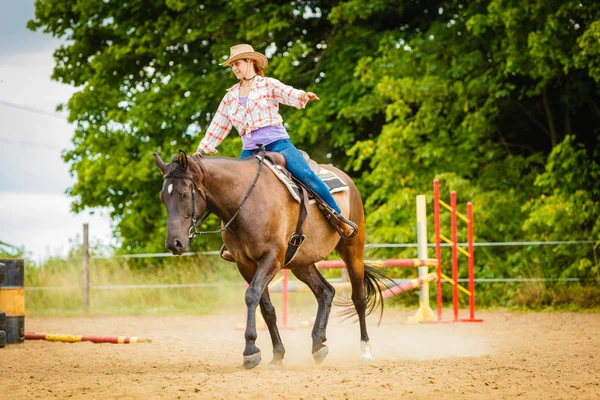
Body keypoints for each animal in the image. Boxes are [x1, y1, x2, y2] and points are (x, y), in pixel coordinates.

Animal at [152, 150, 392, 368]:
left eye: (184, 193)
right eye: (162, 197)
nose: (174, 243)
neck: (245, 201)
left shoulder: (272, 259)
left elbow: (251, 296)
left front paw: (250, 350)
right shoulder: (246, 265)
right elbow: (266, 307)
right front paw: (277, 354)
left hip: (352, 249)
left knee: (359, 298)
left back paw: (365, 351)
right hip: (300, 263)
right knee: (325, 292)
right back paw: (317, 344)